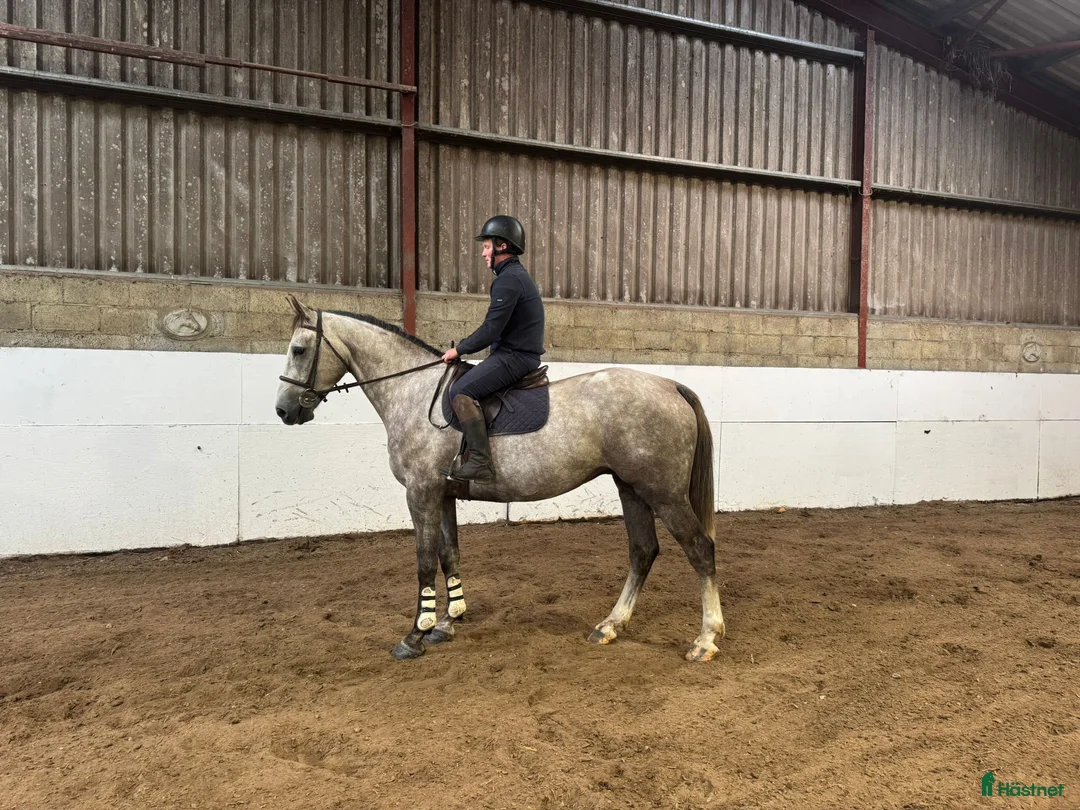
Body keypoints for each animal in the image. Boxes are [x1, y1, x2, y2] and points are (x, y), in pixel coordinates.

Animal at [274, 296, 725, 663]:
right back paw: (611, 625)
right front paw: (447, 621)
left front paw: (414, 635)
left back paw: (705, 639)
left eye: (298, 350)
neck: (414, 392)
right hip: (631, 487)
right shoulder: (443, 495)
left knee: (700, 549)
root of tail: (670, 384)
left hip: (663, 492)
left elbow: (423, 562)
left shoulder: (421, 493)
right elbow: (449, 554)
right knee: (643, 551)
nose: (283, 411)